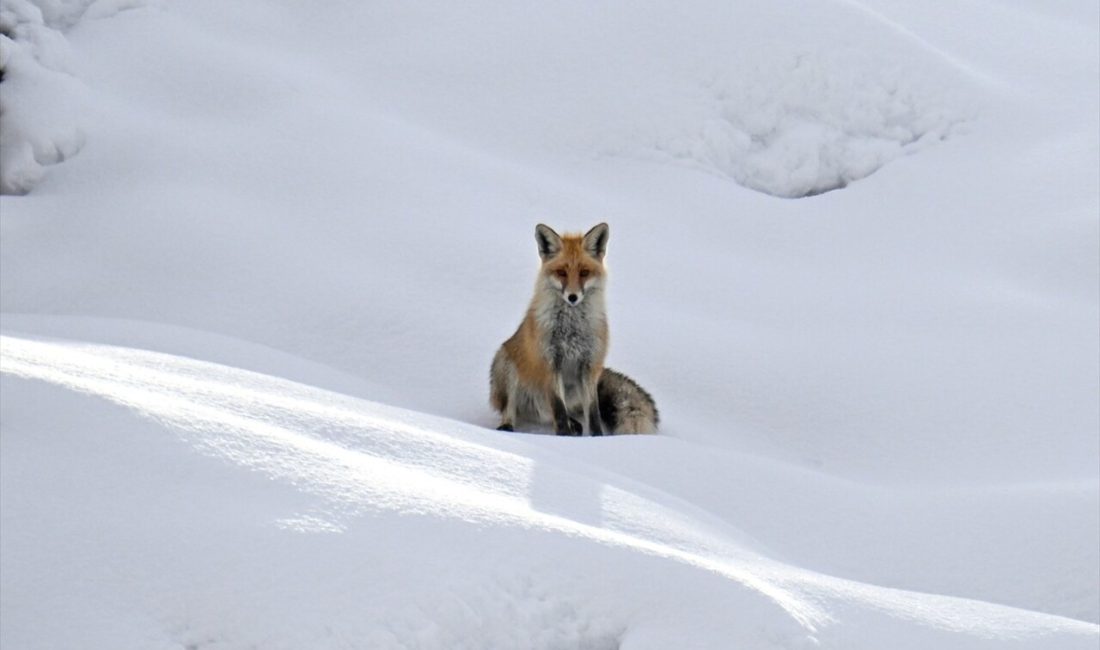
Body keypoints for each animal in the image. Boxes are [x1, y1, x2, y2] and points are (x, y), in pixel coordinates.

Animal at [492, 225, 660, 437]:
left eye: (584, 272)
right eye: (562, 272)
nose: (572, 297)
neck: (571, 330)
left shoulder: (589, 365)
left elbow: (593, 413)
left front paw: (597, 438)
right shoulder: (550, 363)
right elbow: (559, 410)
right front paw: (564, 437)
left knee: (554, 414)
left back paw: (575, 425)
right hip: (506, 365)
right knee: (515, 409)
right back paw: (507, 426)